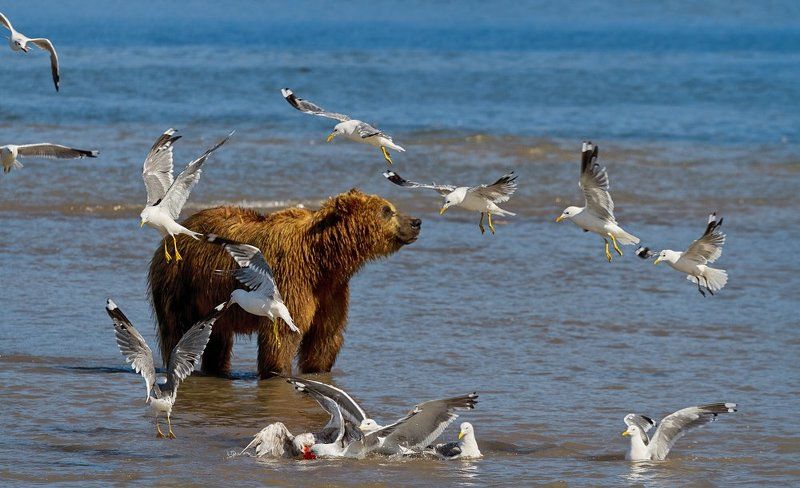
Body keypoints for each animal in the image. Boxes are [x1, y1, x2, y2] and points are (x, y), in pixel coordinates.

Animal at [148, 189, 421, 379]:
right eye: (386, 210)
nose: (416, 222)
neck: (322, 258)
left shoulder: (331, 291)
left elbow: (325, 334)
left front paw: (316, 369)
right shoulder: (292, 280)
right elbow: (284, 333)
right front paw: (278, 370)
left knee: (217, 337)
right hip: (179, 283)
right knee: (177, 327)